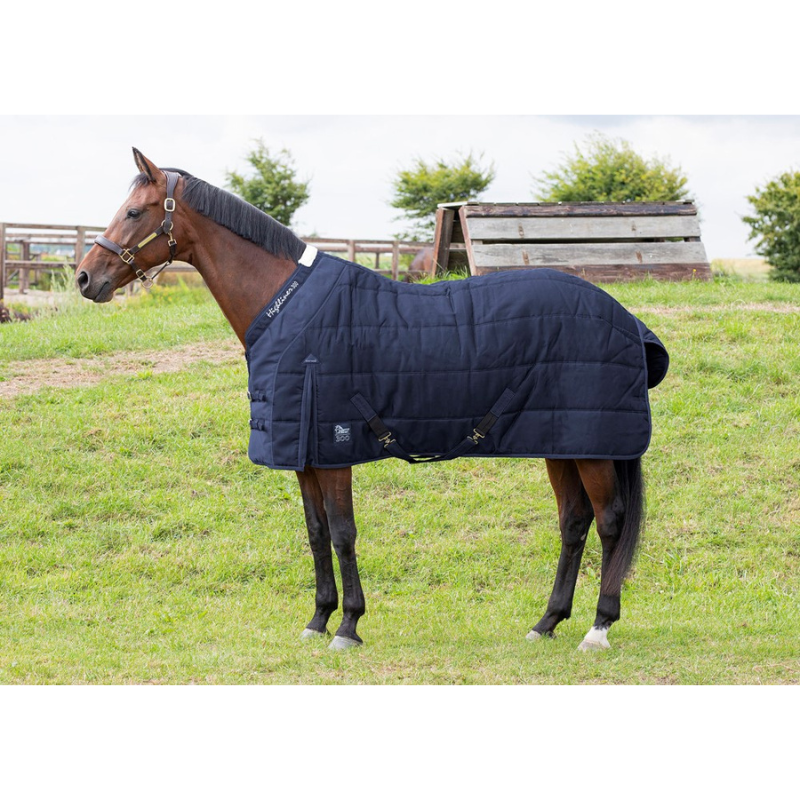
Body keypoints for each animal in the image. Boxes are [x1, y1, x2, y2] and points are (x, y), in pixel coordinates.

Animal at [77, 148, 667, 653]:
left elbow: (342, 534)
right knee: (573, 522)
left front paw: (348, 626)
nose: (85, 278)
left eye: (134, 212)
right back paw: (546, 623)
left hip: (591, 447)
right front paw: (318, 619)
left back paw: (598, 628)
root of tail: (626, 319)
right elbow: (316, 534)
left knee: (609, 521)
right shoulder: (304, 454)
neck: (288, 309)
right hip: (560, 442)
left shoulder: (334, 448)